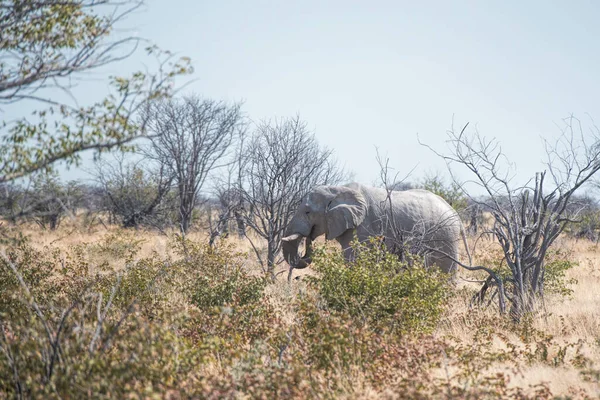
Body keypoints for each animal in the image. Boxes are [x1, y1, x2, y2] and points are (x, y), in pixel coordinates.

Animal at [284, 184, 472, 276]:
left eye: (307, 212)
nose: (309, 238)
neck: (338, 190)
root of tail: (457, 217)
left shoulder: (364, 227)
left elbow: (355, 259)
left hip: (445, 237)